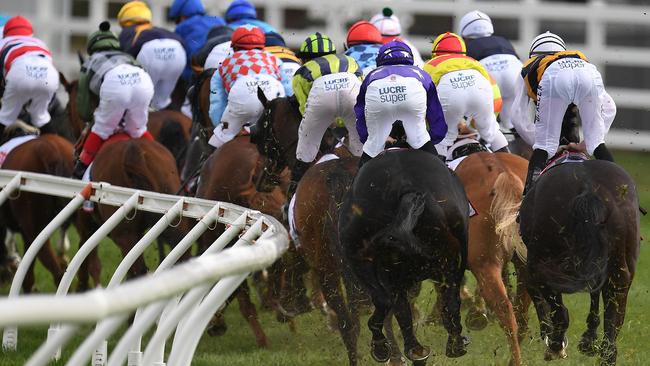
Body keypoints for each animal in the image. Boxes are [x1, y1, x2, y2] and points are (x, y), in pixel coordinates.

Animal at [336, 148, 468, 364]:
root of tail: (404, 184)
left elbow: (398, 308)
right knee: (449, 300)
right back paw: (454, 343)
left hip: (359, 257)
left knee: (384, 299)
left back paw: (383, 346)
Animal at [516, 159, 636, 364]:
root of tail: (587, 186)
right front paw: (589, 339)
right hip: (619, 263)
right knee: (616, 305)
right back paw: (607, 354)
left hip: (540, 262)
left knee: (559, 309)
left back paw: (555, 346)